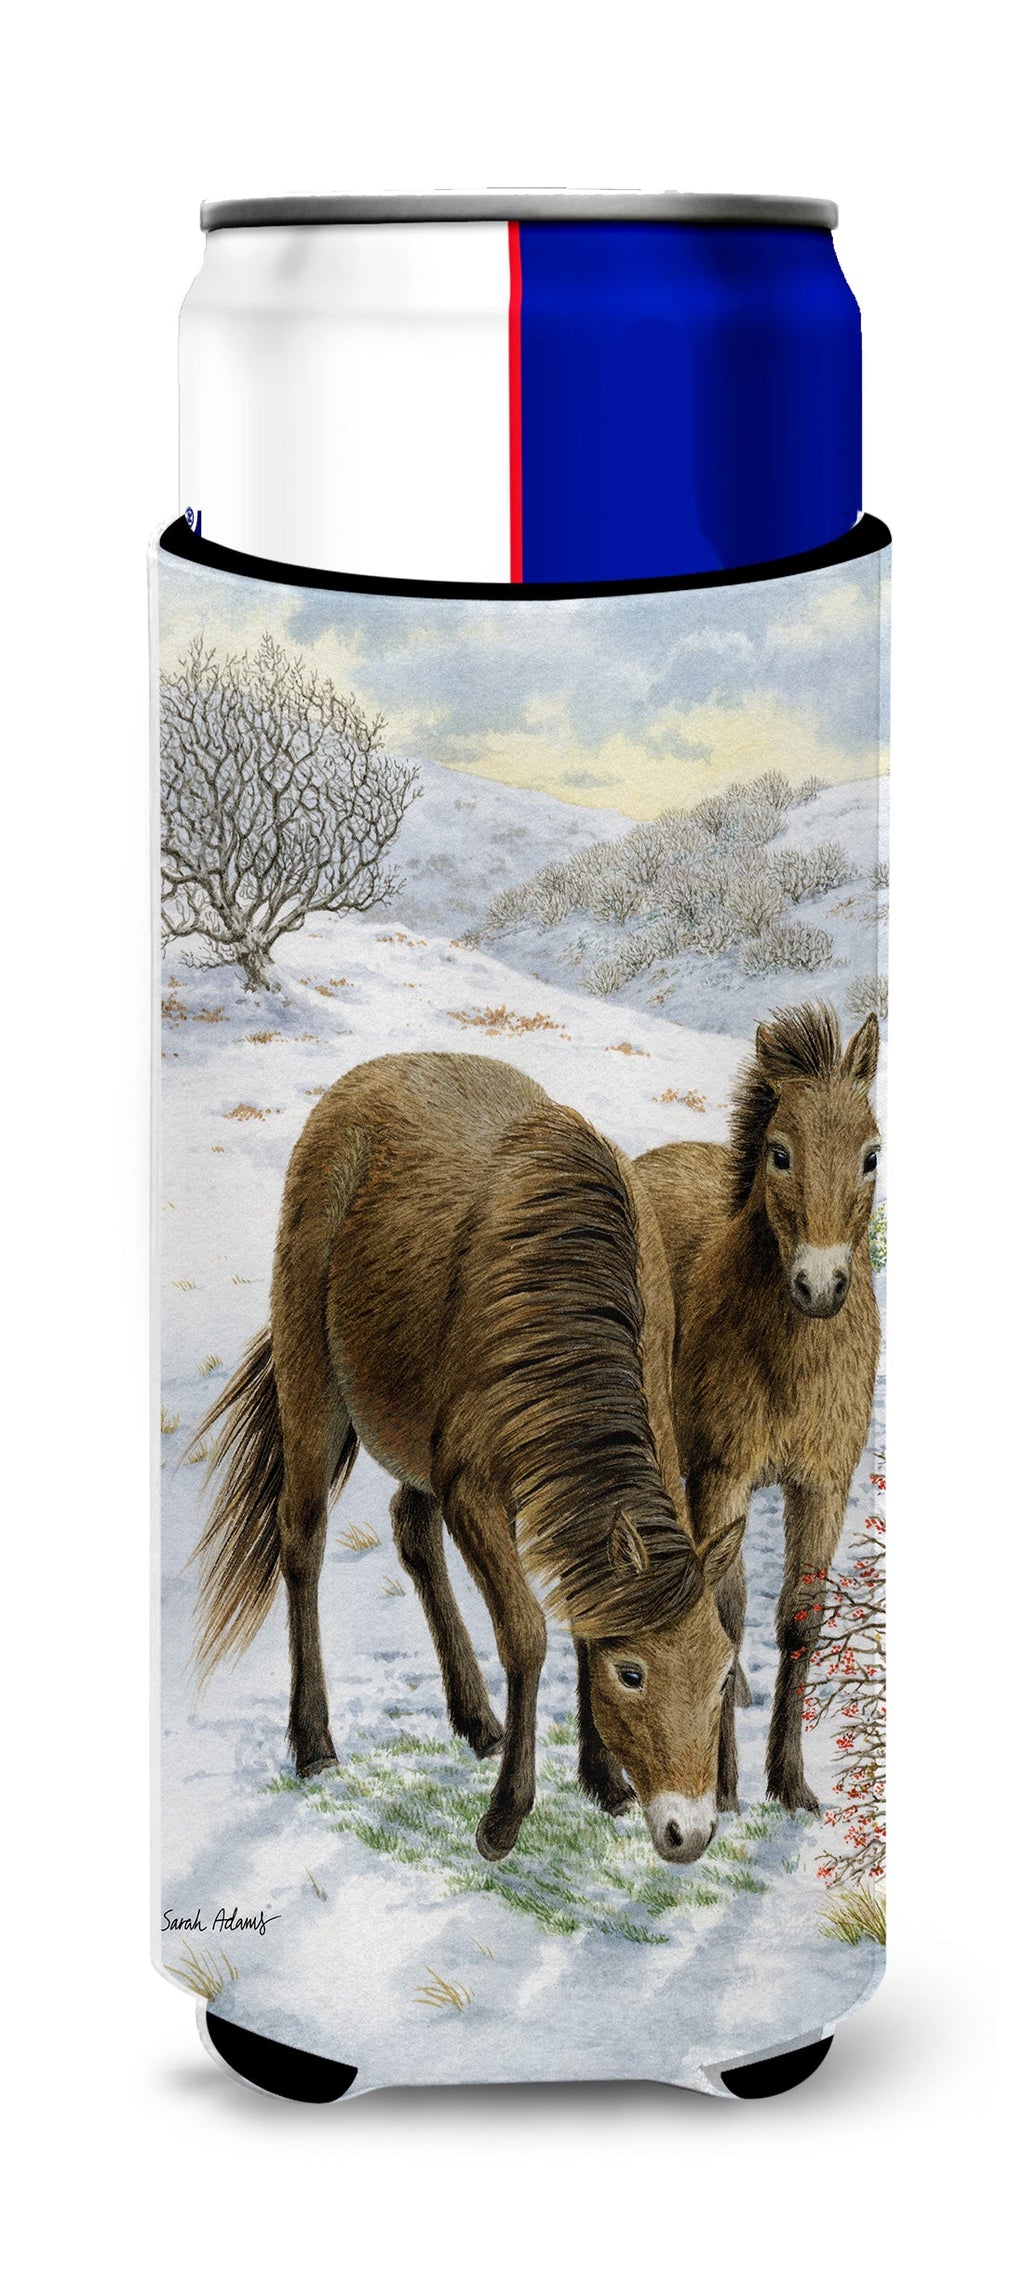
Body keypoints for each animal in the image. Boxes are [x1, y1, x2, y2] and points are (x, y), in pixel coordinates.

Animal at [194, 1052, 744, 1865]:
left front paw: (602, 1781)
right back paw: (315, 1742)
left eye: (721, 1676)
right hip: (311, 1382)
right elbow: (527, 1633)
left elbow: (582, 1608)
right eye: (634, 1674)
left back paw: (477, 1721)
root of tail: (369, 1076)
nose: (689, 1833)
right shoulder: (473, 1491)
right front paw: (505, 1816)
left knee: (410, 1528)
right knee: (302, 1537)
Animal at [633, 1003, 881, 1817]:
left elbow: (800, 1620)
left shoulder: (824, 1485)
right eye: (780, 1152)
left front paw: (791, 1783)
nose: (820, 1286)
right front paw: (728, 1787)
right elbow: (726, 1610)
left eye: (871, 1156)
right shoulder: (722, 1476)